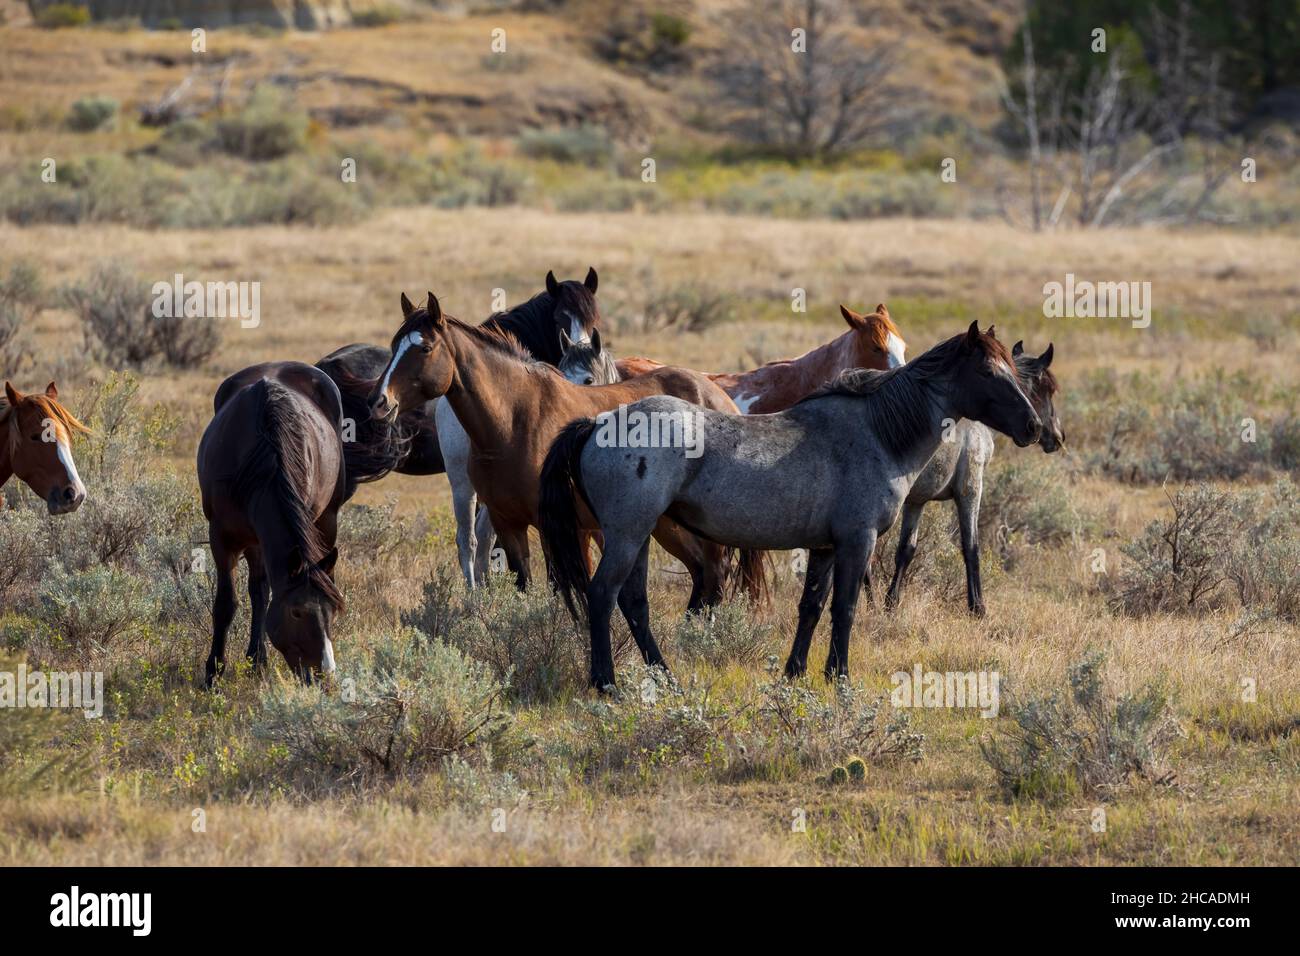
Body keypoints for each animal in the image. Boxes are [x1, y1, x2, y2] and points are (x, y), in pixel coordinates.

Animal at [196, 361, 348, 686]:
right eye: (297, 612)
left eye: (332, 612)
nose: (324, 674)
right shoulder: (221, 538)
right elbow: (226, 604)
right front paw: (213, 673)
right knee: (258, 591)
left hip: (327, 520)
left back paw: (258, 659)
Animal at [366, 291, 759, 608]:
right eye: (394, 346)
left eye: (425, 347)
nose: (379, 401)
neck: (515, 419)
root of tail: (715, 393)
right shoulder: (508, 523)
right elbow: (522, 583)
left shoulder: (555, 524)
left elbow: (561, 587)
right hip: (666, 522)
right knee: (701, 571)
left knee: (715, 570)